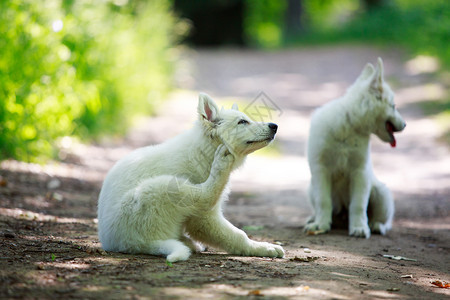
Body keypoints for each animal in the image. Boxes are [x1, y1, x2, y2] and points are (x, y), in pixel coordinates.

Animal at [97, 92, 284, 262]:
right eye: (242, 122)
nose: (274, 126)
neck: (203, 151)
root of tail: (125, 243)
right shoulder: (205, 217)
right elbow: (238, 235)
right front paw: (264, 247)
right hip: (160, 188)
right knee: (205, 195)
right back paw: (221, 164)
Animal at [304, 57, 406, 238]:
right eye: (394, 106)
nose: (405, 125)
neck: (349, 123)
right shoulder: (320, 169)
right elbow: (323, 201)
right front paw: (321, 225)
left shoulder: (360, 172)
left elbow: (358, 205)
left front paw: (359, 227)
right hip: (311, 188)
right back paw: (314, 219)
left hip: (381, 193)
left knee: (383, 220)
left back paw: (375, 225)